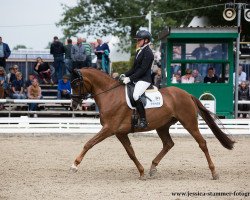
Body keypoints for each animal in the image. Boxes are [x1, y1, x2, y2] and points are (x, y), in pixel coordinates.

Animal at [69, 67, 234, 180]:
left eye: (76, 84)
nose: (74, 104)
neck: (110, 95)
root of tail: (187, 94)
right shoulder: (120, 132)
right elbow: (131, 153)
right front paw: (141, 172)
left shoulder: (109, 128)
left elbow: (89, 143)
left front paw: (74, 165)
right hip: (162, 126)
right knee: (168, 144)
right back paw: (152, 168)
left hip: (189, 123)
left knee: (202, 144)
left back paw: (214, 172)